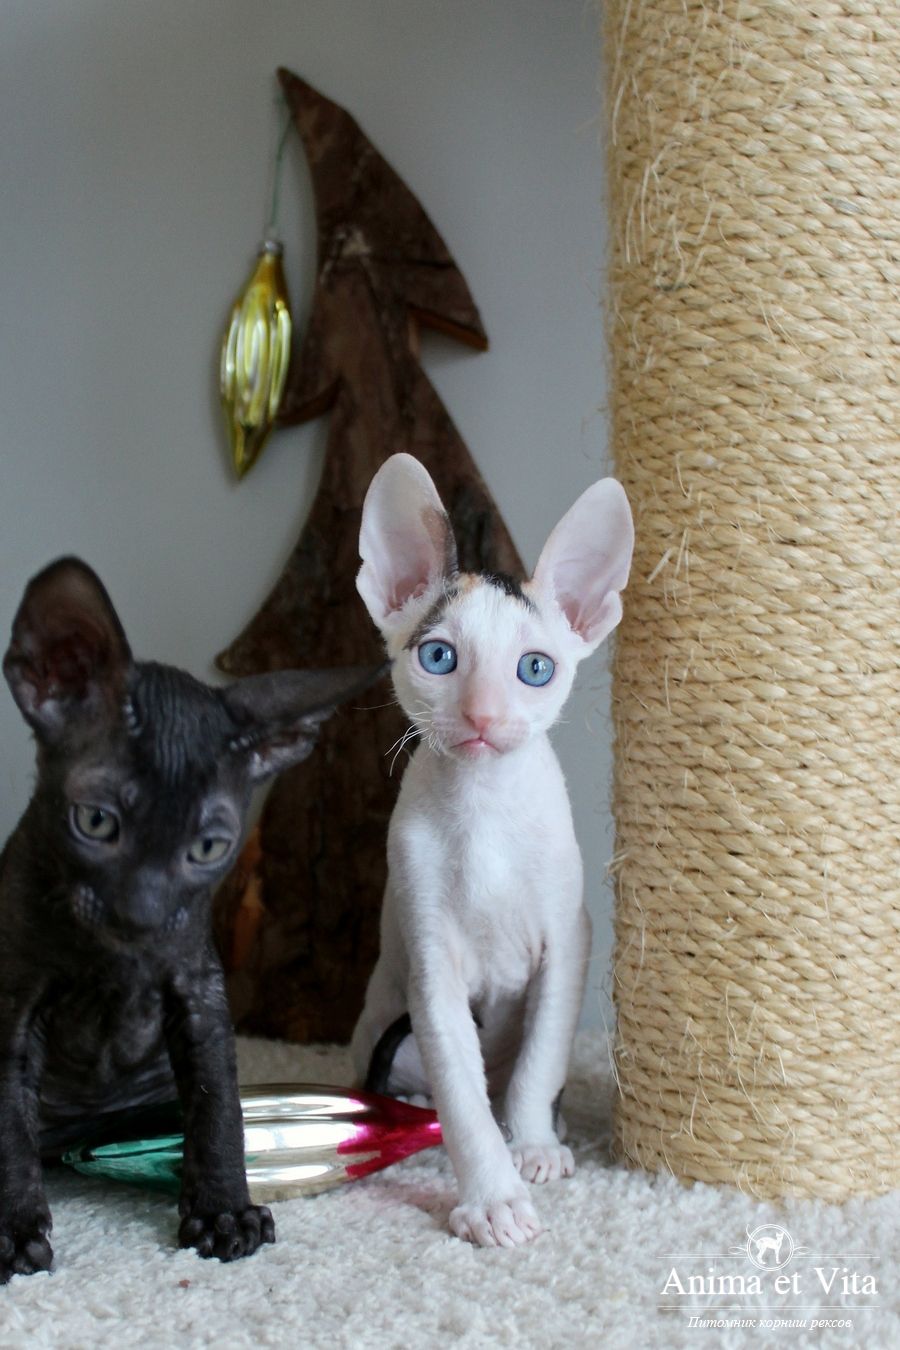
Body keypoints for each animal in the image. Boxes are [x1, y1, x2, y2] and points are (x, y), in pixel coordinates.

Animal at [0, 556, 378, 1281]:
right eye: (96, 822)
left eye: (207, 848)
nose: (141, 915)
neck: (113, 963)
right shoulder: (12, 1003)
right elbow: (5, 1124)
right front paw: (9, 1230)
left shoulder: (198, 993)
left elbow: (218, 1107)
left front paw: (225, 1211)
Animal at [350, 453, 634, 1247]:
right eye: (439, 657)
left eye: (534, 668)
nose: (481, 716)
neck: (485, 815)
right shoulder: (430, 962)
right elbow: (462, 1096)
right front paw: (493, 1198)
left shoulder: (569, 939)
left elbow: (539, 1064)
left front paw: (533, 1146)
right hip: (386, 1029)